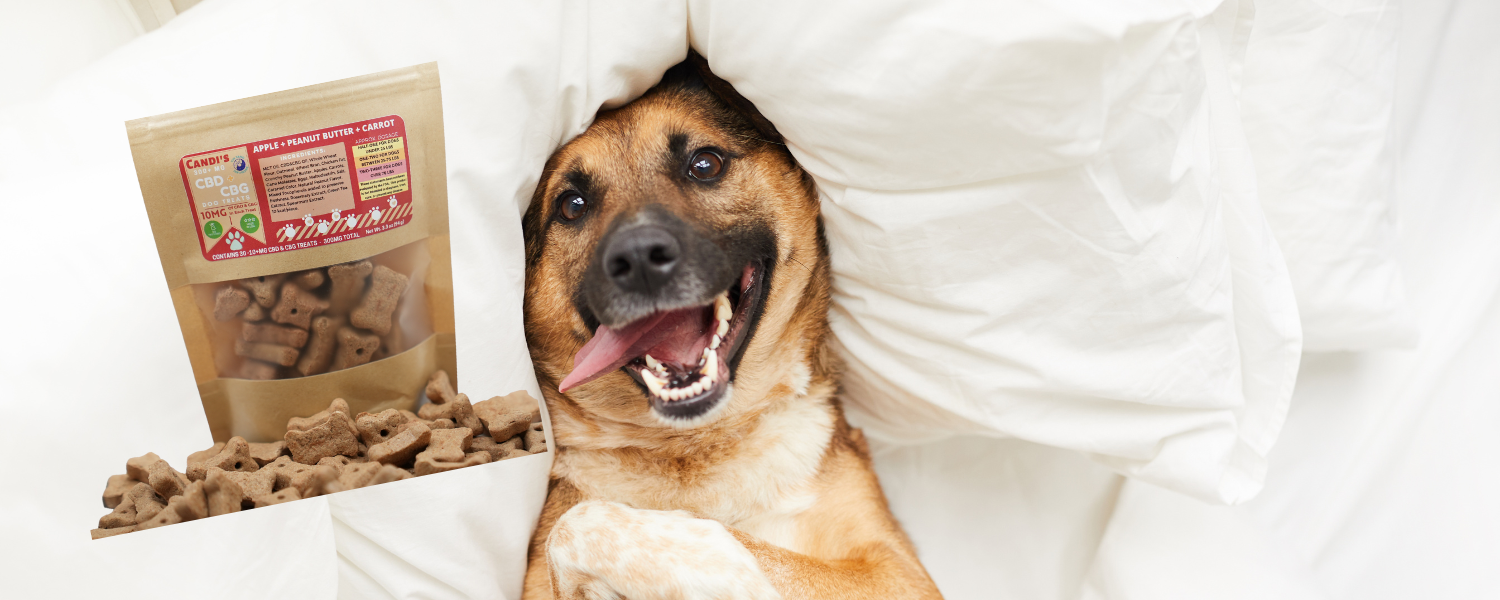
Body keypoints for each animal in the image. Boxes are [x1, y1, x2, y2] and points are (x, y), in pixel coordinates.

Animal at [516, 54, 936, 597]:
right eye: (571, 205)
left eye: (706, 164)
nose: (640, 258)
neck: (699, 445)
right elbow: (575, 525)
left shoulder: (896, 571)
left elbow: (590, 524)